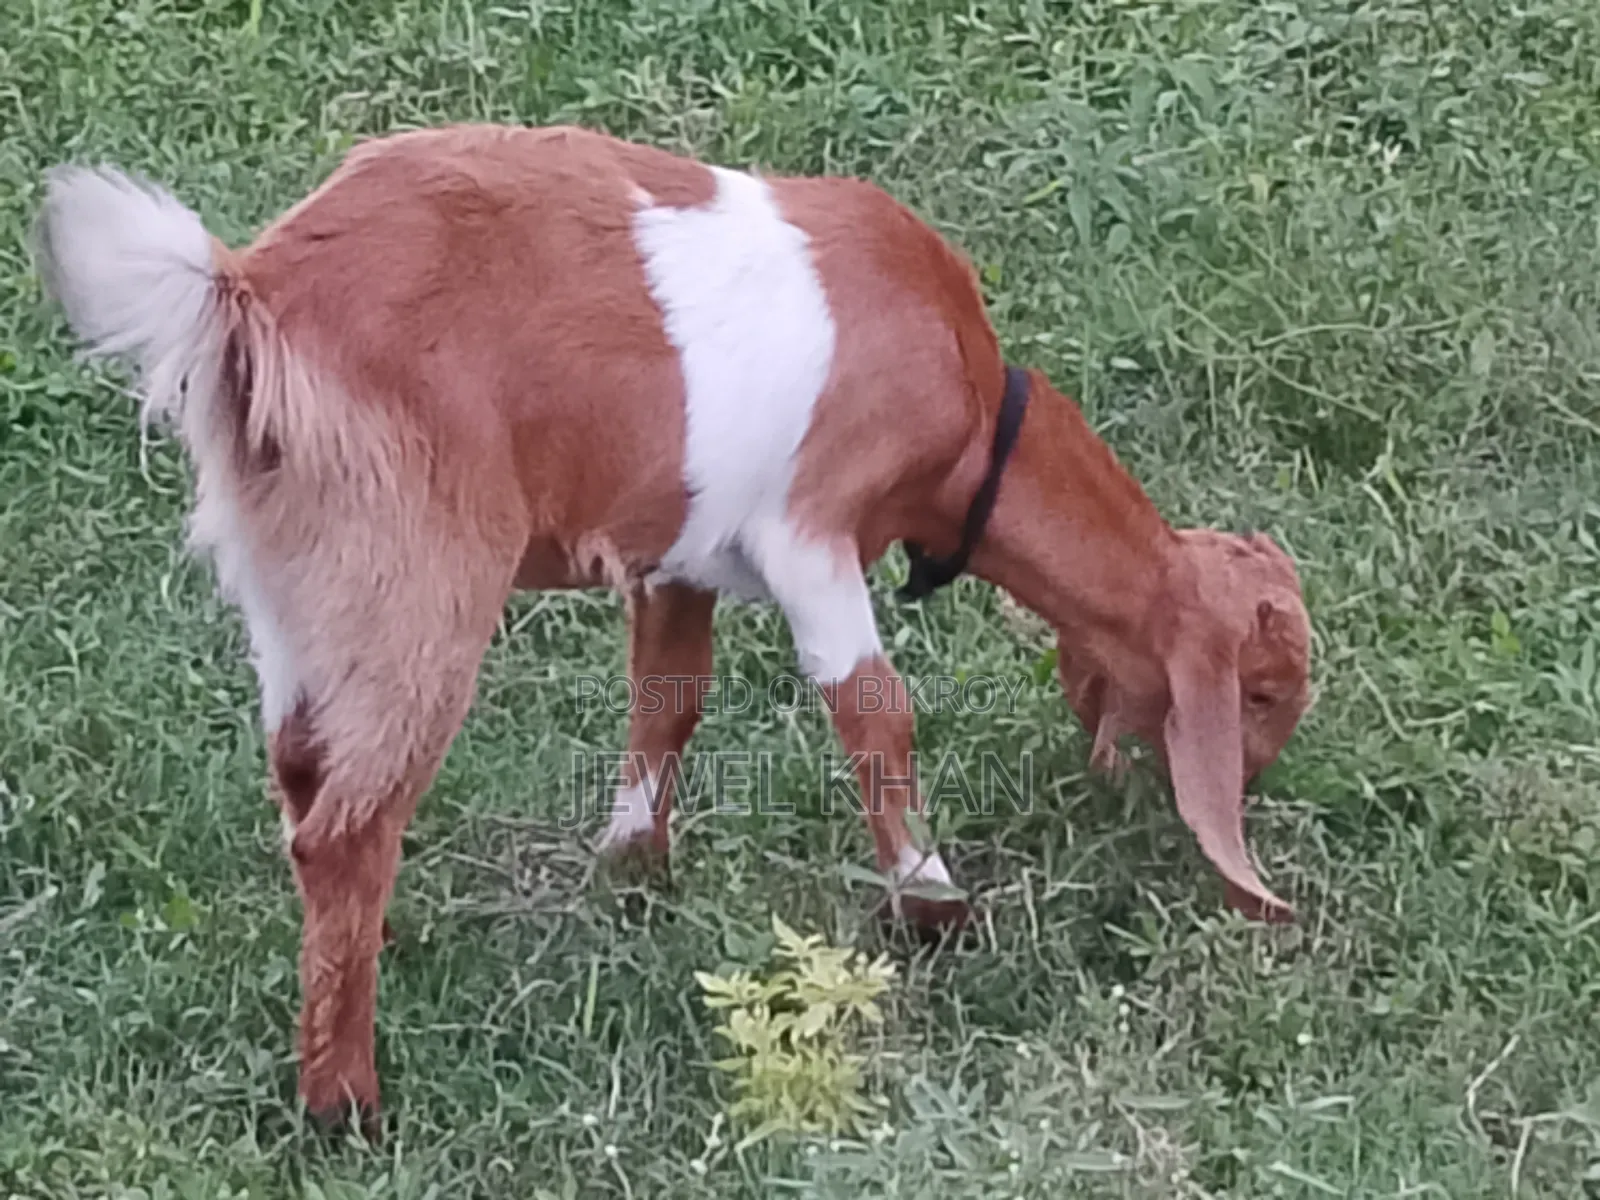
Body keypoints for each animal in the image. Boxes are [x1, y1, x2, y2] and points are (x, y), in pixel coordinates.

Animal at [34, 122, 1312, 1128]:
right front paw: (932, 903)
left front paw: (633, 867)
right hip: (419, 576)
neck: (964, 415)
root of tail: (247, 294)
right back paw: (345, 1104)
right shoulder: (810, 532)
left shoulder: (676, 556)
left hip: (299, 585)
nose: (1254, 785)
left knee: (305, 775)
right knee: (346, 824)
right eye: (1255, 691)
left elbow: (670, 695)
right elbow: (873, 711)